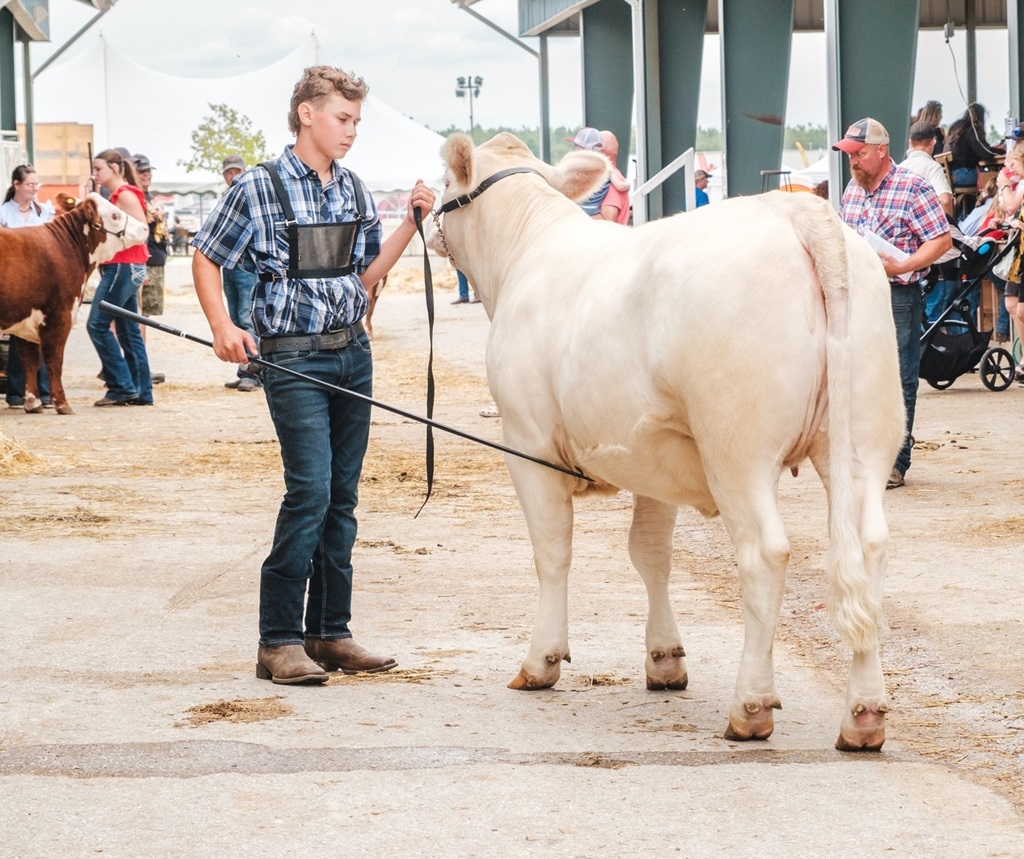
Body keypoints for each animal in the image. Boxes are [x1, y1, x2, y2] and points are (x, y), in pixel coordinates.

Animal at [0, 193, 149, 414]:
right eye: (115, 215)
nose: (144, 228)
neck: (66, 248)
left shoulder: (26, 319)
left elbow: (30, 361)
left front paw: (33, 402)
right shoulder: (59, 315)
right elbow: (54, 361)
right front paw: (62, 404)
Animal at [428, 132, 906, 751]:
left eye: (443, 181)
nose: (424, 213)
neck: (528, 252)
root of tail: (794, 209)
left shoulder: (527, 443)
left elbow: (552, 552)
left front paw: (542, 661)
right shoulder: (650, 458)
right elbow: (651, 553)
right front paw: (665, 658)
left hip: (738, 450)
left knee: (764, 554)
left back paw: (751, 707)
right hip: (863, 440)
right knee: (868, 549)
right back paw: (864, 715)